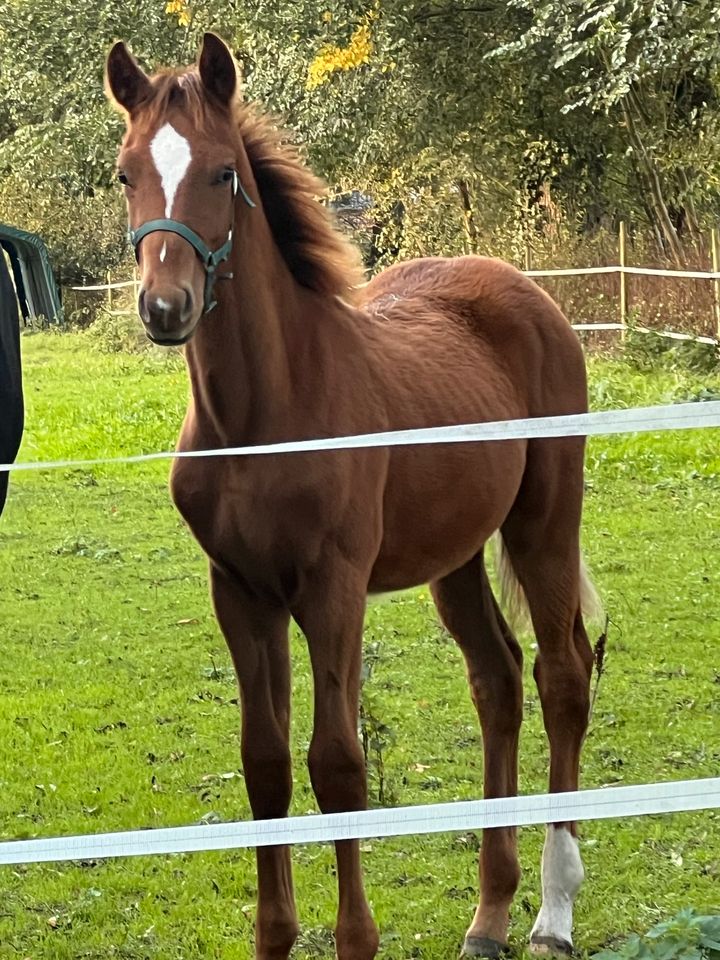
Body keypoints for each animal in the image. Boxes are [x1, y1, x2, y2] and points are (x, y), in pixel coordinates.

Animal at [107, 35, 600, 960]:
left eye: (222, 172)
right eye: (126, 174)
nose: (165, 306)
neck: (264, 418)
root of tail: (526, 290)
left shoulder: (333, 589)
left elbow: (336, 763)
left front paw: (353, 938)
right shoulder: (241, 591)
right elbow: (264, 762)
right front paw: (274, 936)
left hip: (543, 523)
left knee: (562, 677)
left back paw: (551, 914)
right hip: (455, 553)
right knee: (497, 678)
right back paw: (488, 916)